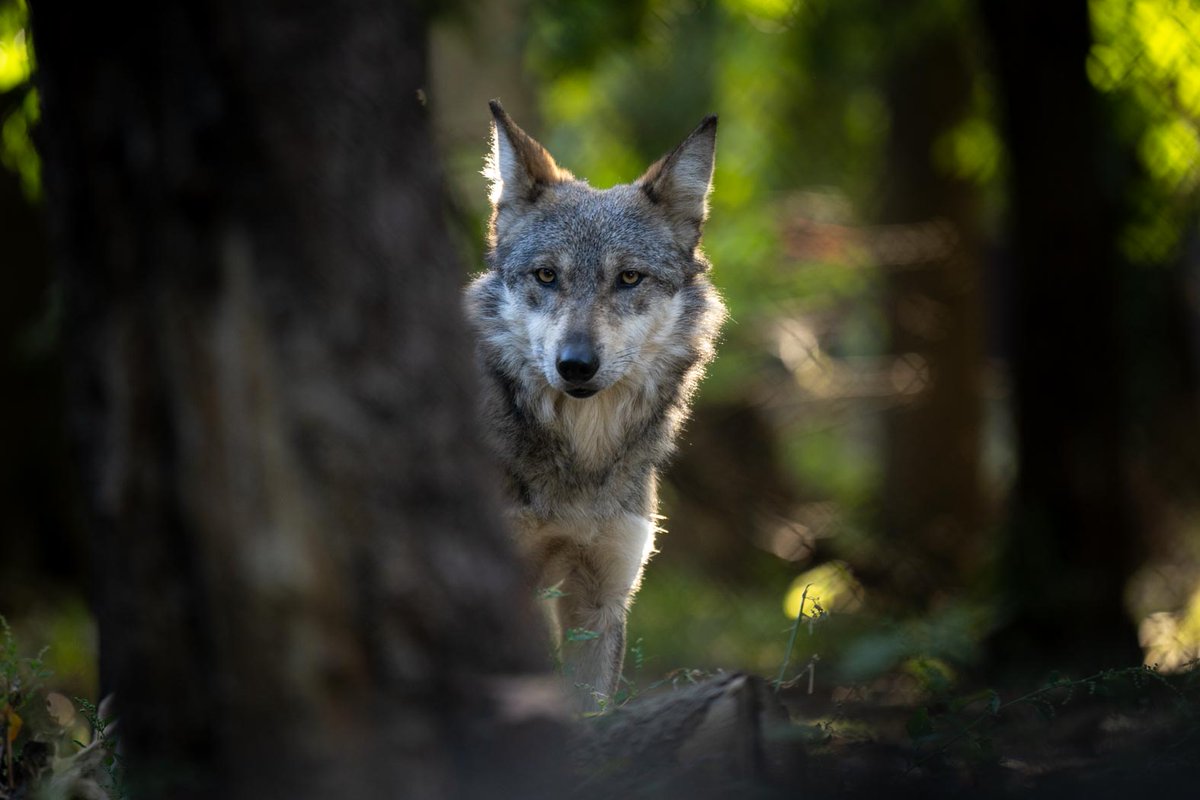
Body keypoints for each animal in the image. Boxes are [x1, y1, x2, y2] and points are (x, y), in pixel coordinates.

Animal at [463, 101, 724, 714]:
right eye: (546, 275)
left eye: (628, 277)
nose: (575, 365)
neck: (582, 461)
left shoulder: (600, 598)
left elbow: (592, 713)